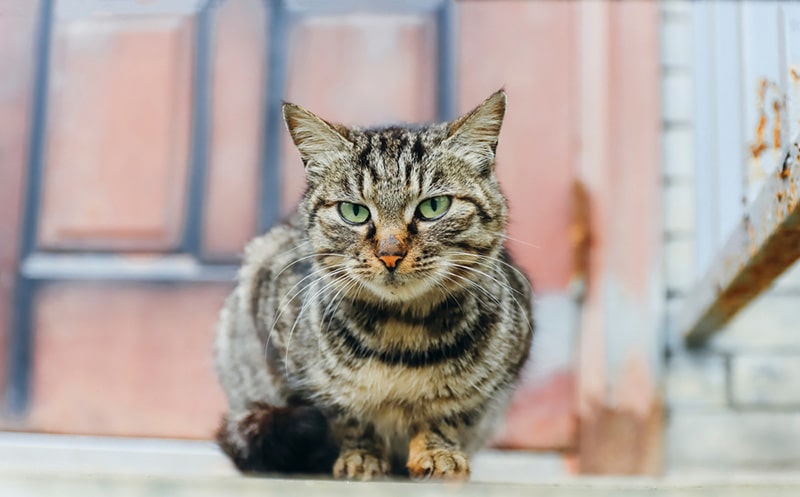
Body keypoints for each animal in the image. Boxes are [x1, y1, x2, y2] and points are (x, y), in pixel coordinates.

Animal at [216, 90, 536, 480]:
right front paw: (362, 457)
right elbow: (347, 416)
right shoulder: (284, 349)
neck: (403, 331)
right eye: (354, 212)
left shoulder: (491, 381)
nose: (390, 253)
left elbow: (447, 413)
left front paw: (438, 454)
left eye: (434, 206)